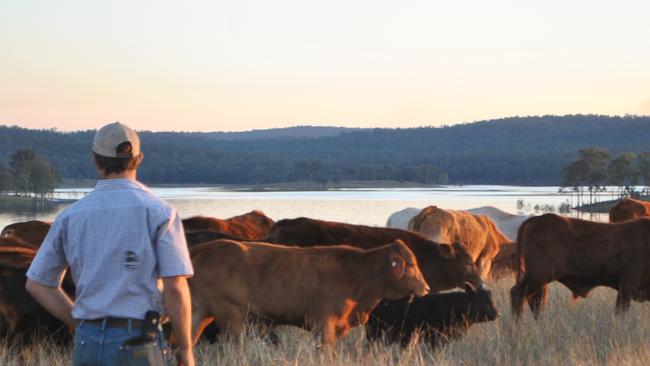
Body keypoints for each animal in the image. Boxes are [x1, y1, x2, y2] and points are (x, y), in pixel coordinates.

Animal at [512, 213, 650, 318]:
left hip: (540, 280)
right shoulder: (626, 286)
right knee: (518, 294)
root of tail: (536, 219)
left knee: (536, 301)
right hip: (538, 276)